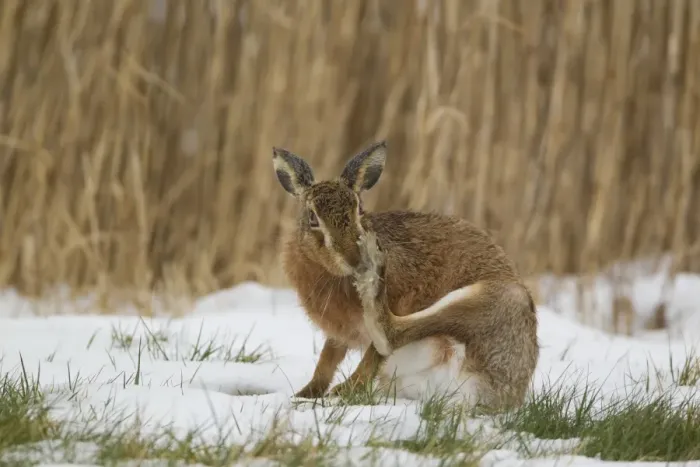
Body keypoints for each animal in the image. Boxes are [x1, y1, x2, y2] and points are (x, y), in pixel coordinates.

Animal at [272, 141, 539, 410]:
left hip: (490, 299)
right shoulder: (338, 334)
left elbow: (371, 355)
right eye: (312, 217)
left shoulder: (401, 301)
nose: (354, 259)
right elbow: (327, 359)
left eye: (359, 209)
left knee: (393, 335)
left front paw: (345, 389)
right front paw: (306, 393)